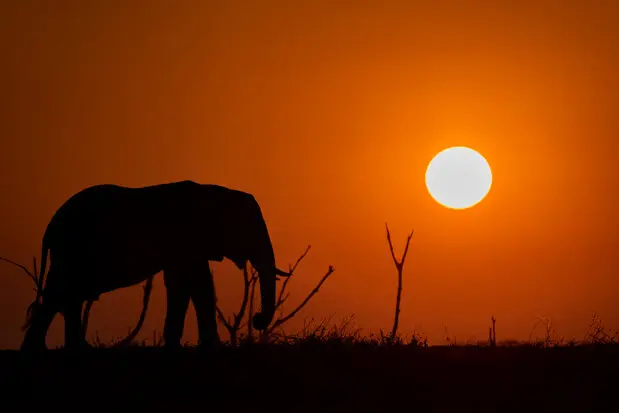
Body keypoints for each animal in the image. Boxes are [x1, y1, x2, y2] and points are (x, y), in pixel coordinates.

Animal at [19, 179, 290, 350]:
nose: (257, 319)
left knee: (66, 295)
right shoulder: (184, 238)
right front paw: (206, 346)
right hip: (73, 249)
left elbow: (187, 284)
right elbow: (193, 283)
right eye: (249, 229)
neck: (215, 192)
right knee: (62, 293)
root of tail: (50, 226)